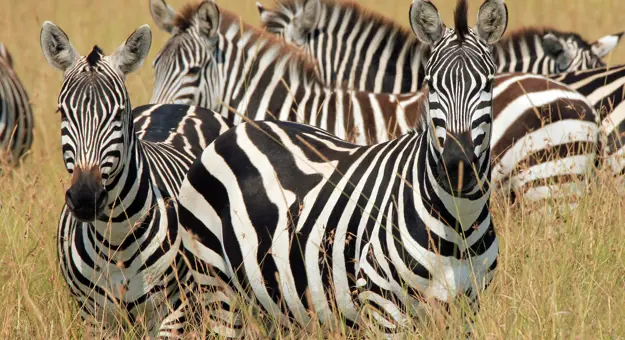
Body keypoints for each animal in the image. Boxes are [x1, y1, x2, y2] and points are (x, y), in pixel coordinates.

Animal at [40, 21, 233, 338]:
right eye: (62, 112)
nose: (85, 197)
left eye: (118, 114)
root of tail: (177, 105)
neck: (115, 239)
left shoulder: (174, 313)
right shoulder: (94, 318)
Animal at [176, 0, 508, 336]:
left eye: (488, 84)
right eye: (430, 84)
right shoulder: (383, 307)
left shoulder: (467, 310)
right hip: (215, 287)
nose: (457, 166)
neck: (457, 224)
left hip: (272, 304)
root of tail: (235, 130)